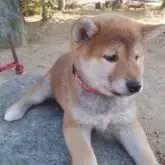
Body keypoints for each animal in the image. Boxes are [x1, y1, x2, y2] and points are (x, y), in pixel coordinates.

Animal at [4, 13, 165, 164]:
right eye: (111, 57)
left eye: (137, 57)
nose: (135, 86)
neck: (103, 98)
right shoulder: (75, 125)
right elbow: (86, 156)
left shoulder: (129, 125)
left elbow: (147, 157)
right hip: (44, 89)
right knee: (28, 97)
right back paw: (13, 111)